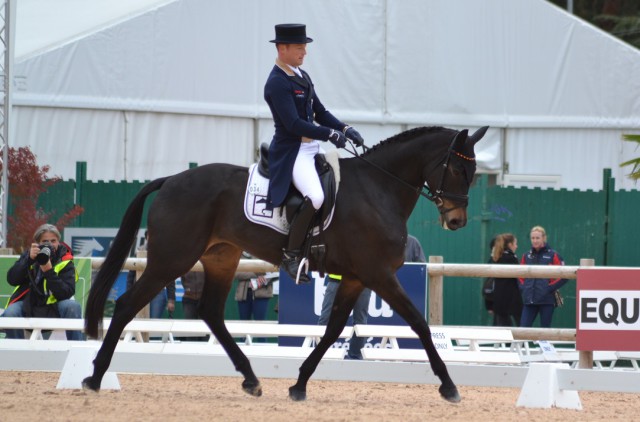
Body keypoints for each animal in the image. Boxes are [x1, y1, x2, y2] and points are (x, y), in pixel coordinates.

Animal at [82, 125, 488, 402]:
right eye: (457, 170)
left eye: (474, 175)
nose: (457, 221)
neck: (379, 189)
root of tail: (170, 180)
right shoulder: (380, 275)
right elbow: (418, 323)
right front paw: (448, 385)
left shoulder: (356, 278)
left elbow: (332, 331)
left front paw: (299, 384)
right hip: (172, 258)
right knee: (127, 305)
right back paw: (95, 377)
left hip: (221, 257)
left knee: (211, 311)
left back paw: (250, 378)